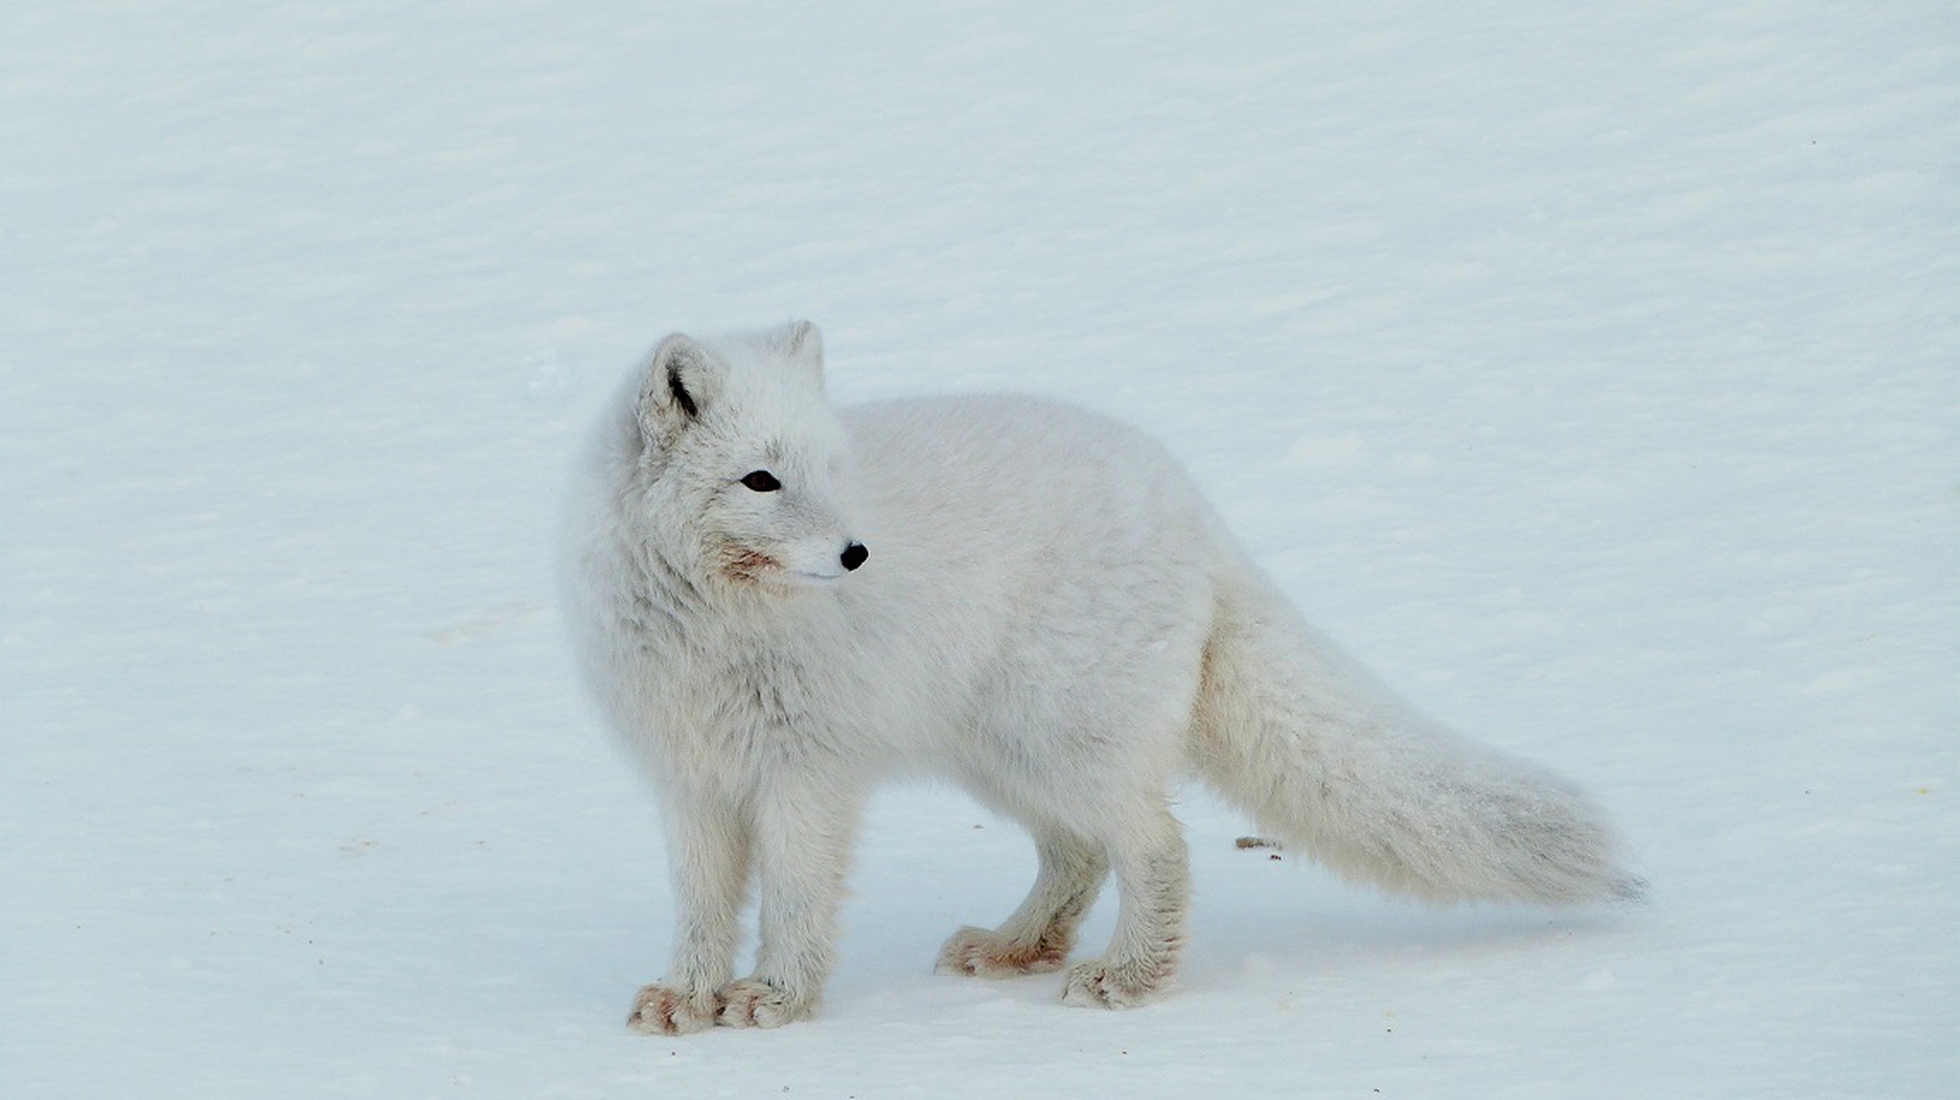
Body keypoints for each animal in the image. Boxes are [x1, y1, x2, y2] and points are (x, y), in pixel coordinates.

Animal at [560, 321, 1646, 1035]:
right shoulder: (690, 781)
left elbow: (792, 899)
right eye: (761, 479)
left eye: (831, 470)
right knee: (1078, 855)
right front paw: (687, 997)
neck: (716, 621)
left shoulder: (804, 776)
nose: (859, 553)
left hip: (1059, 739)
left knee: (1155, 845)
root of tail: (1194, 505)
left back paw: (1129, 978)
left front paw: (777, 999)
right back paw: (1016, 947)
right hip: (1003, 754)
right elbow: (702, 906)